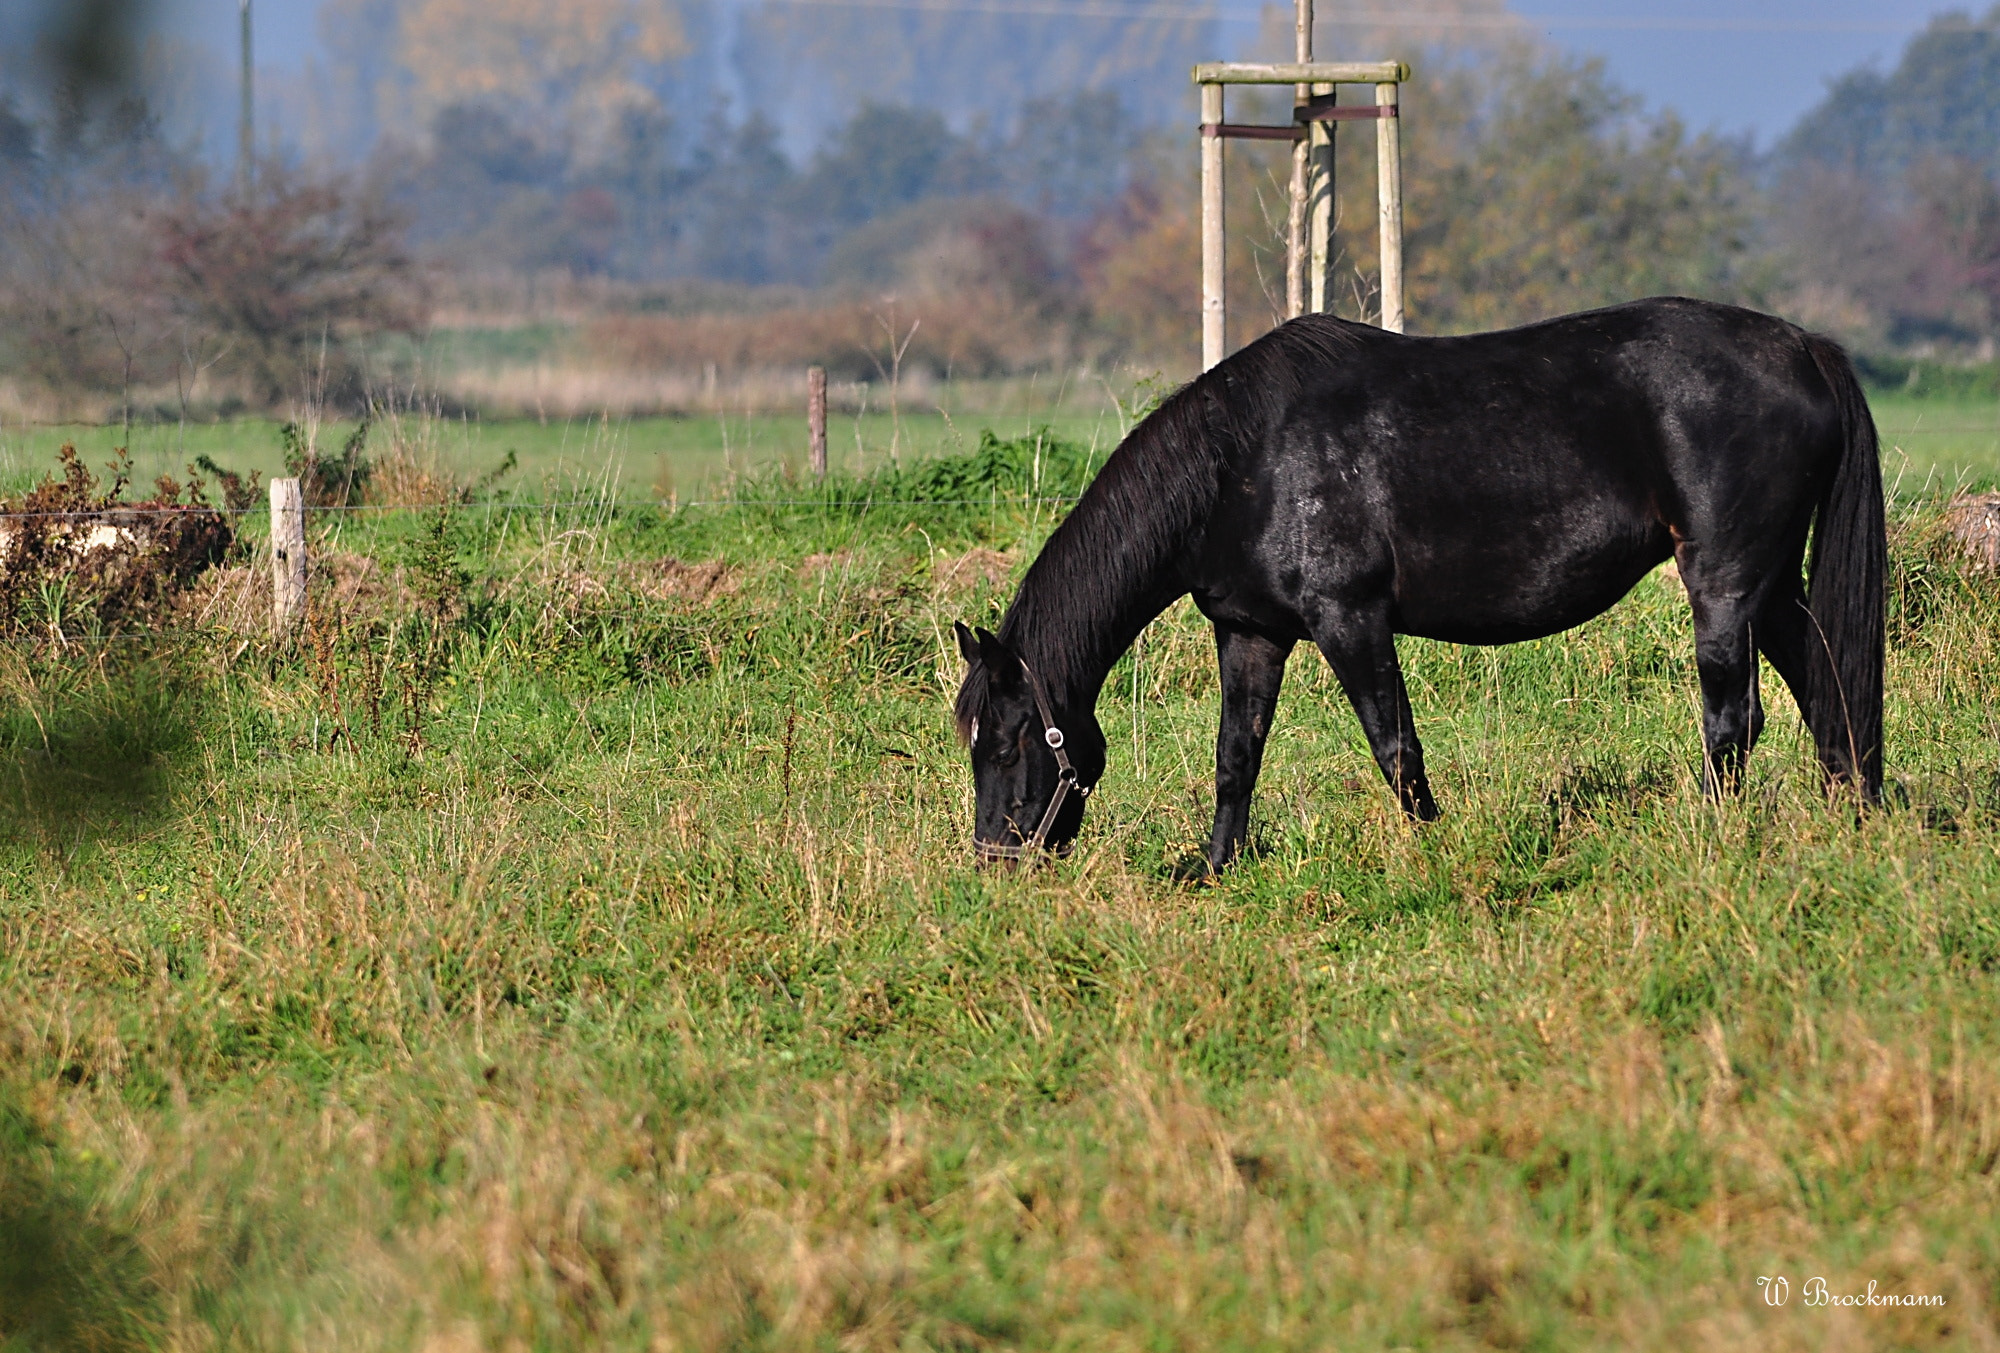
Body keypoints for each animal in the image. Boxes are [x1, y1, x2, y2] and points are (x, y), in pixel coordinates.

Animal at [952, 296, 1884, 871]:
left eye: (1008, 741)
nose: (996, 861)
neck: (1244, 460)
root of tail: (1806, 348)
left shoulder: (1351, 619)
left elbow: (1395, 747)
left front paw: (1432, 850)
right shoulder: (1251, 633)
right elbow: (1235, 758)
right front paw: (1216, 867)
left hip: (1723, 583)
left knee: (1733, 719)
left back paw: (1711, 834)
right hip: (1772, 585)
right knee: (1828, 685)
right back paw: (1858, 816)